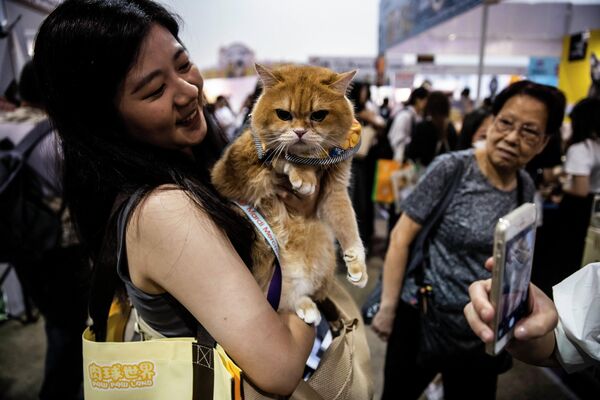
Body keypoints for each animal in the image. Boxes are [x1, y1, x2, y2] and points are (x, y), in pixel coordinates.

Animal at [213, 63, 368, 324]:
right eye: (283, 114)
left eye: (318, 115)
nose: (299, 132)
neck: (312, 159)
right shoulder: (231, 171)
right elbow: (281, 155)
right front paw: (301, 174)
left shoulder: (335, 191)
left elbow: (349, 226)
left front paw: (358, 266)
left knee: (293, 298)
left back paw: (306, 306)